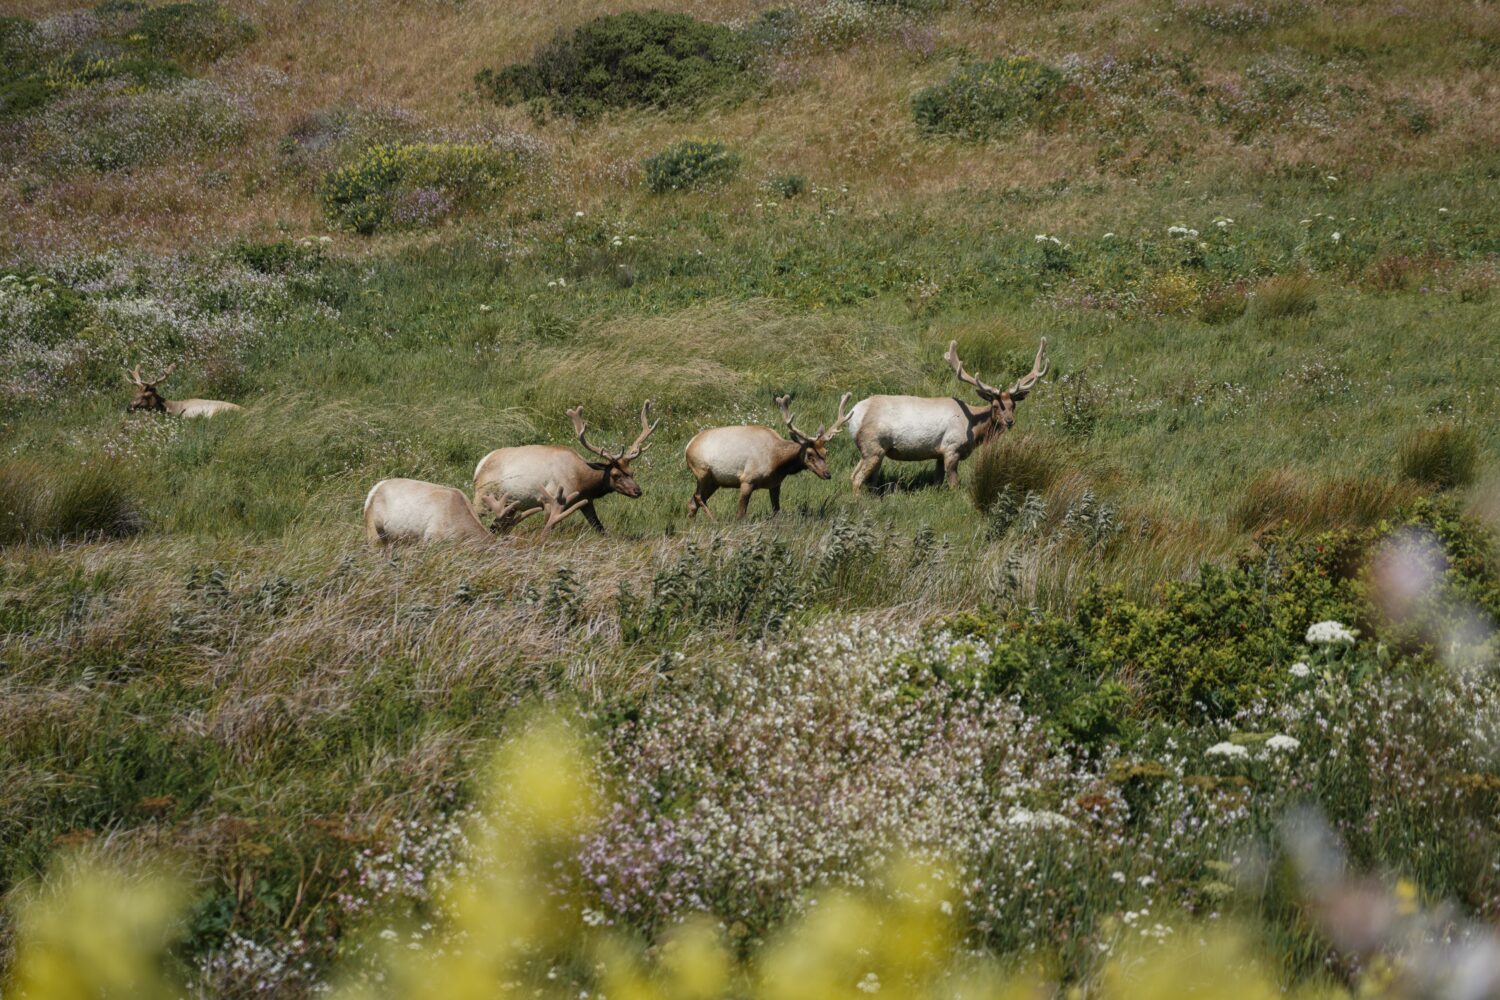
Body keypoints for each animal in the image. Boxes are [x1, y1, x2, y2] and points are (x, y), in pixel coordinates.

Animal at [471, 401, 654, 536]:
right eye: (616, 475)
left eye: (632, 472)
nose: (638, 491)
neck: (582, 481)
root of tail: (480, 465)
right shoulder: (549, 499)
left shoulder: (586, 501)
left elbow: (599, 527)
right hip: (483, 495)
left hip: (507, 504)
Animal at [687, 389, 852, 521]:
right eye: (810, 454)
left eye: (826, 452)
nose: (827, 474)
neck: (777, 462)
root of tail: (688, 446)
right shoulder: (747, 480)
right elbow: (740, 515)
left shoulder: (775, 484)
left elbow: (776, 511)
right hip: (702, 472)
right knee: (698, 497)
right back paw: (714, 520)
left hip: (715, 481)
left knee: (692, 503)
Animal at [852, 338, 1050, 494]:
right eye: (995, 405)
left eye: (1013, 405)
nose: (1009, 421)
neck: (975, 429)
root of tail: (855, 416)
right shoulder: (951, 447)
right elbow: (954, 484)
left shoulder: (939, 452)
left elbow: (937, 481)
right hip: (873, 444)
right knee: (856, 478)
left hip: (872, 450)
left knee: (858, 475)